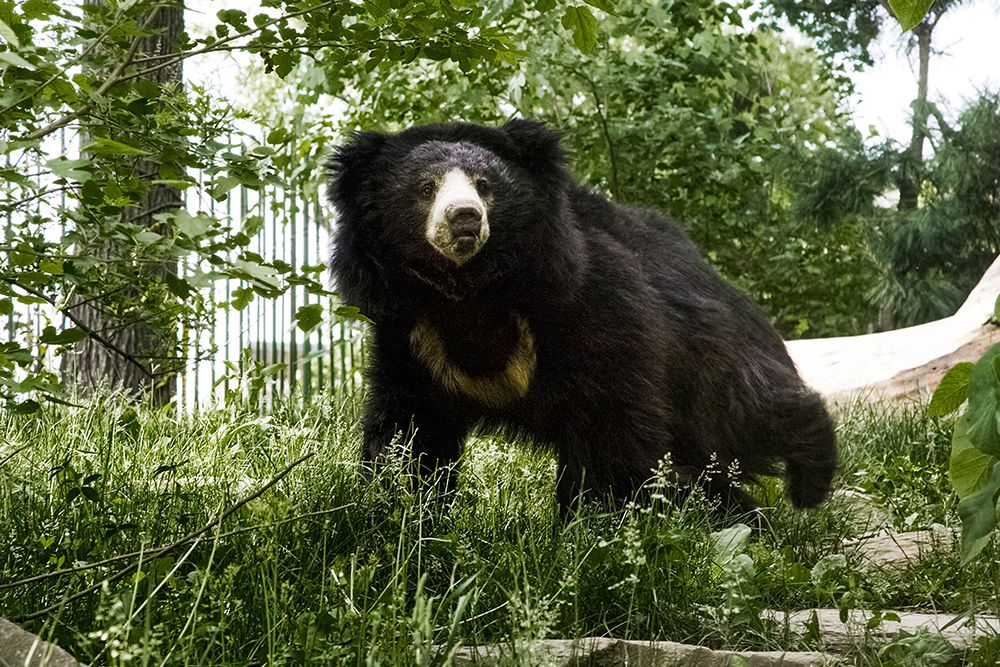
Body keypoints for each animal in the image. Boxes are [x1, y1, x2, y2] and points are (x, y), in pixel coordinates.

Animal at [327, 119, 837, 513]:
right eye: (425, 188)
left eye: (485, 185)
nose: (465, 218)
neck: (472, 294)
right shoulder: (412, 334)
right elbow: (411, 431)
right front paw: (396, 508)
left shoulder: (597, 304)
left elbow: (608, 426)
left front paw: (592, 528)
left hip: (710, 358)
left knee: (746, 413)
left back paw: (808, 481)